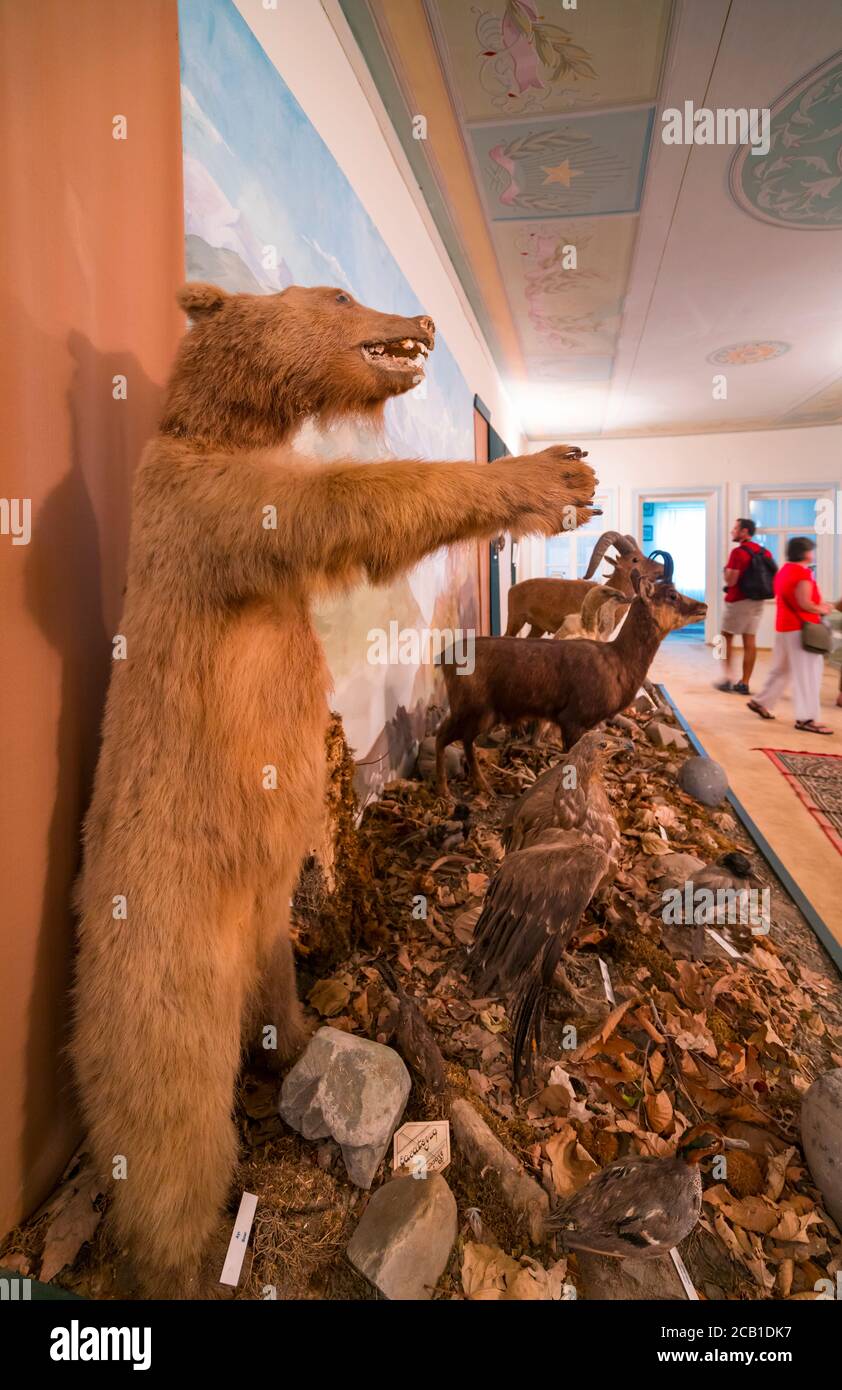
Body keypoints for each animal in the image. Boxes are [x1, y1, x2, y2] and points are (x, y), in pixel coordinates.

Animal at [72, 276, 600, 1295]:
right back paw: (182, 1256)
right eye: (340, 291)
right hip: (158, 955)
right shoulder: (208, 506)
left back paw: (293, 1037)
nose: (422, 318)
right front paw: (557, 476)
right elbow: (347, 502)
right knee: (165, 1132)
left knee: (272, 978)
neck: (221, 426)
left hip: (258, 921)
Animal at [436, 572, 705, 795]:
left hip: (483, 713)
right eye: (672, 594)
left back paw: (483, 786)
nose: (704, 606)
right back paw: (444, 793)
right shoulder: (572, 718)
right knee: (442, 735)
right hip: (469, 707)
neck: (619, 664)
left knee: (465, 740)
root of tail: (443, 659)